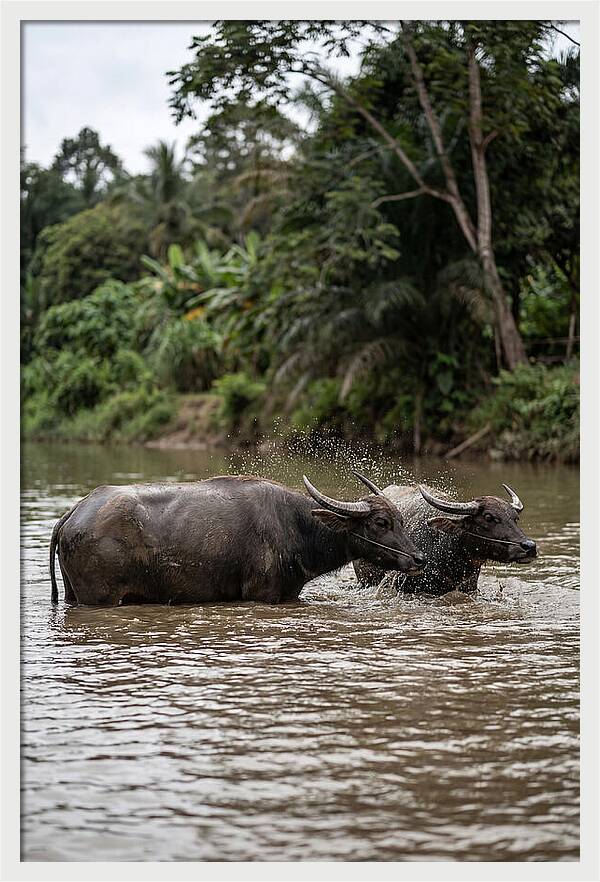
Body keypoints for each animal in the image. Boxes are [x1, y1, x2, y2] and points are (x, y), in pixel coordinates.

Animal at [50, 472, 426, 606]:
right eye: (381, 522)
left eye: (401, 520)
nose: (419, 558)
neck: (294, 526)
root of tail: (74, 512)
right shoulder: (262, 594)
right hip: (101, 598)